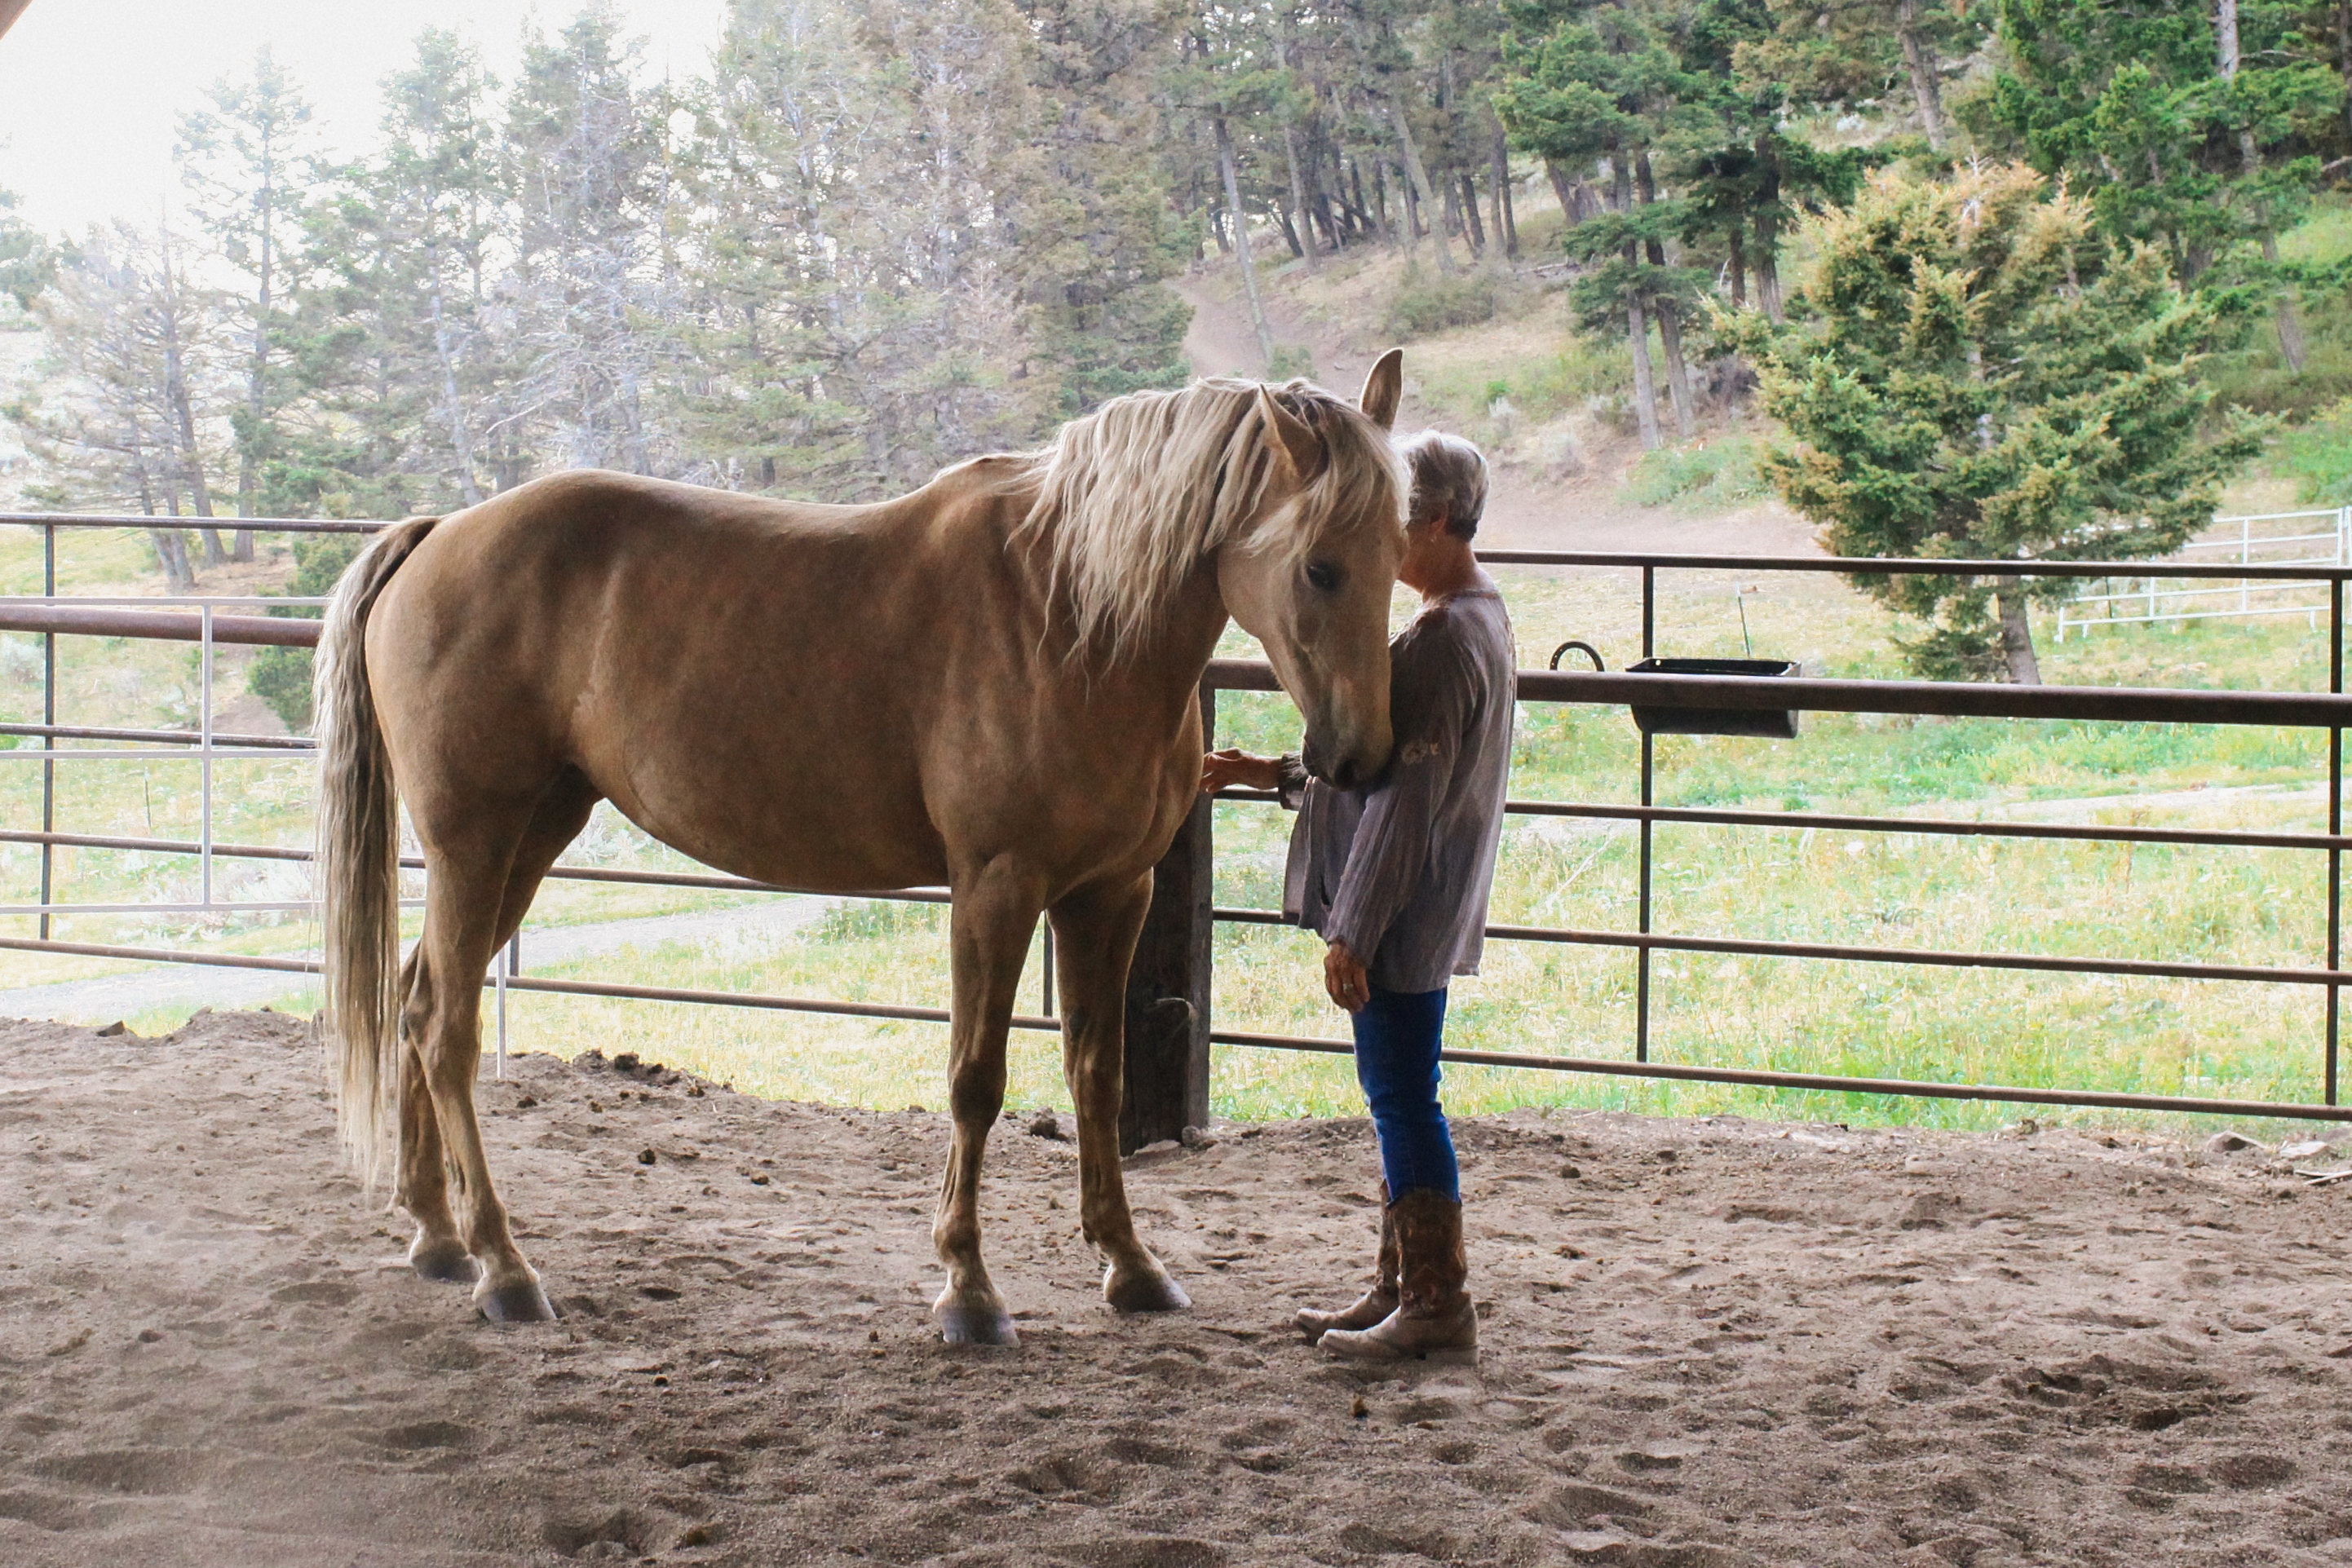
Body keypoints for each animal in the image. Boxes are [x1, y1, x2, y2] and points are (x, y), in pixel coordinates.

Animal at [312, 355, 1411, 1354]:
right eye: (1319, 565)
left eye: (1398, 551)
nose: (1360, 757)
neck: (1068, 616)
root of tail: (436, 535)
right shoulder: (995, 887)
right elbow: (976, 1079)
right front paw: (968, 1291)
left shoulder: (1112, 892)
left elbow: (1094, 1075)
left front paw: (1131, 1267)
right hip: (475, 842)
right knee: (447, 1027)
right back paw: (504, 1268)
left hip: (532, 837)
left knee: (415, 1001)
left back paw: (437, 1235)